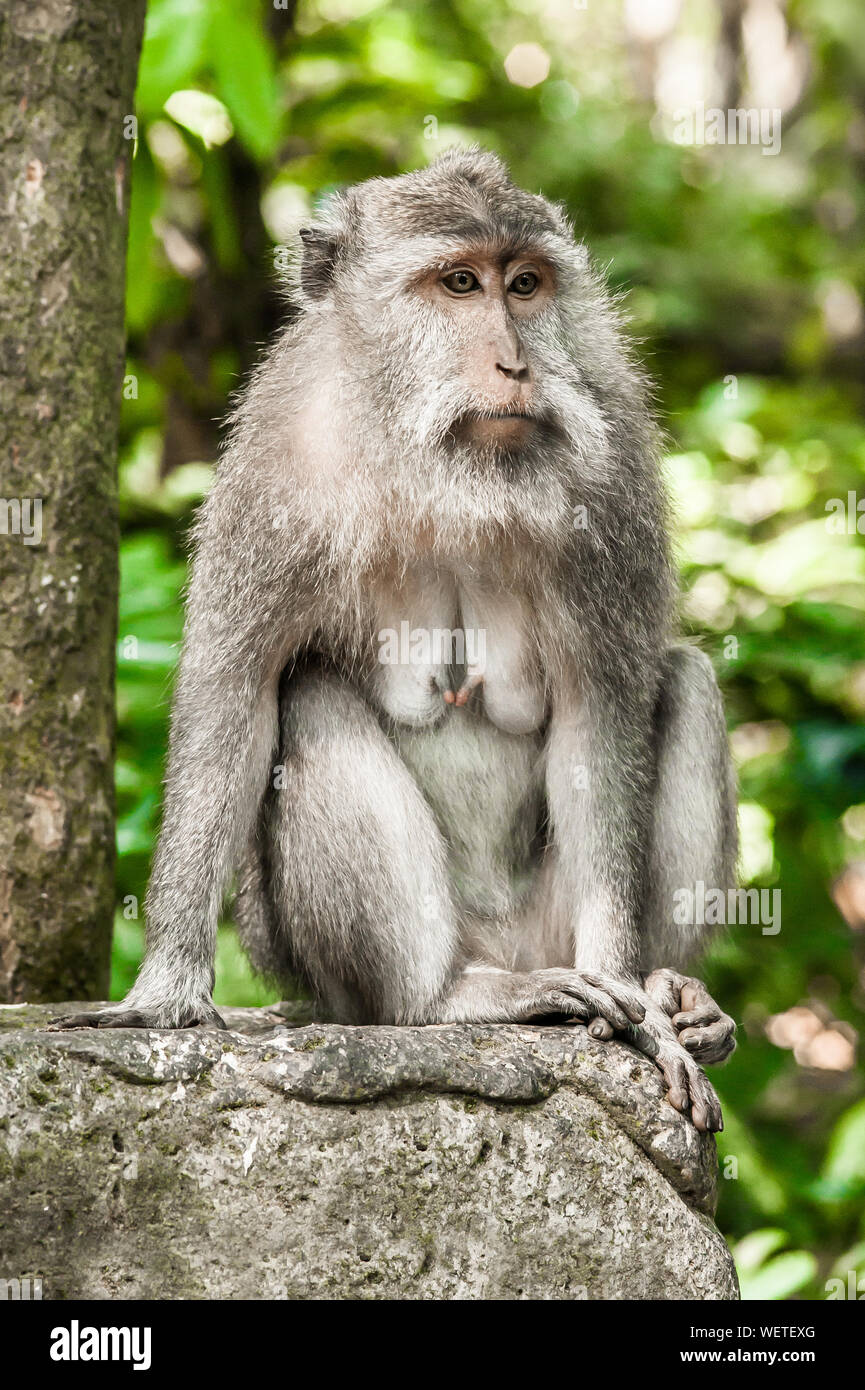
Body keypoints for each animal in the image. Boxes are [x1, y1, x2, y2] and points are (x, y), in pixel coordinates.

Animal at [57, 149, 739, 1128]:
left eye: (524, 284)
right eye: (458, 283)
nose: (515, 362)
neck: (444, 466)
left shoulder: (612, 476)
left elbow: (601, 712)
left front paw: (639, 1005)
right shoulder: (277, 463)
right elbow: (236, 693)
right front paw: (162, 998)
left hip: (545, 928)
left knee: (682, 678)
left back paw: (672, 993)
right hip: (325, 964)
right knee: (307, 699)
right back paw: (443, 1000)